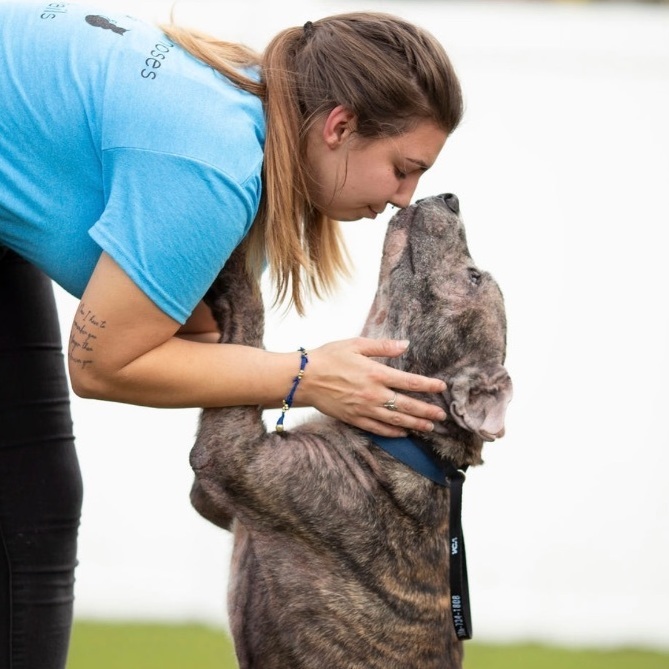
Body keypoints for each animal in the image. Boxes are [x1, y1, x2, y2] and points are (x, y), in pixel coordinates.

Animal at [188, 193, 512, 668]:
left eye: (472, 278)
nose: (451, 198)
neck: (405, 444)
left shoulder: (229, 456)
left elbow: (250, 315)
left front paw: (234, 264)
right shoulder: (211, 502)